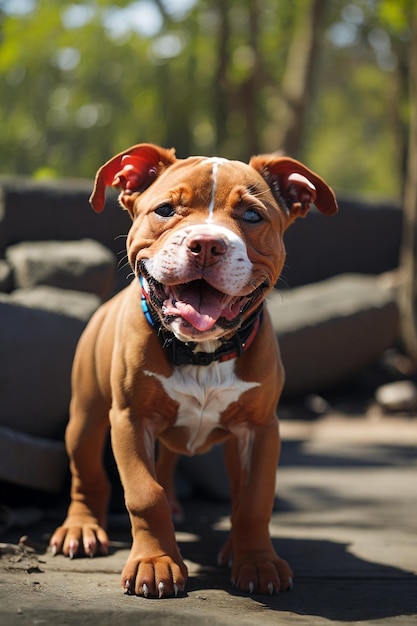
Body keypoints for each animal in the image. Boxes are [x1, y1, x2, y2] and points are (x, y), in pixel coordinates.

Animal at [49, 141, 338, 596]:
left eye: (252, 216)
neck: (201, 352)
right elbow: (144, 494)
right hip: (86, 419)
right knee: (88, 475)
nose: (206, 244)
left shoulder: (261, 428)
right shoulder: (130, 420)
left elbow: (254, 499)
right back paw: (81, 528)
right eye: (166, 210)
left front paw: (257, 561)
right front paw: (155, 563)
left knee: (202, 477)